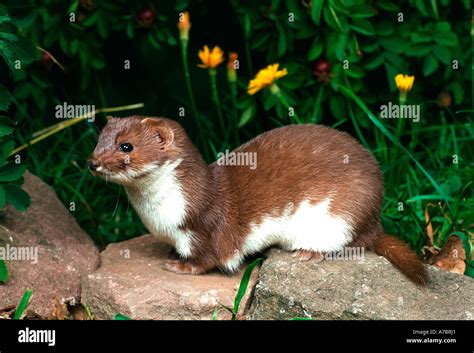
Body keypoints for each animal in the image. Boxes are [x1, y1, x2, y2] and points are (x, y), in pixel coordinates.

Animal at [87, 115, 428, 284]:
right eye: (99, 140)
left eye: (126, 146)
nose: (92, 163)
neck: (160, 215)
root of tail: (374, 219)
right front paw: (172, 254)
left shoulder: (207, 228)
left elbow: (211, 258)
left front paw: (180, 266)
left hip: (340, 213)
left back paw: (308, 252)